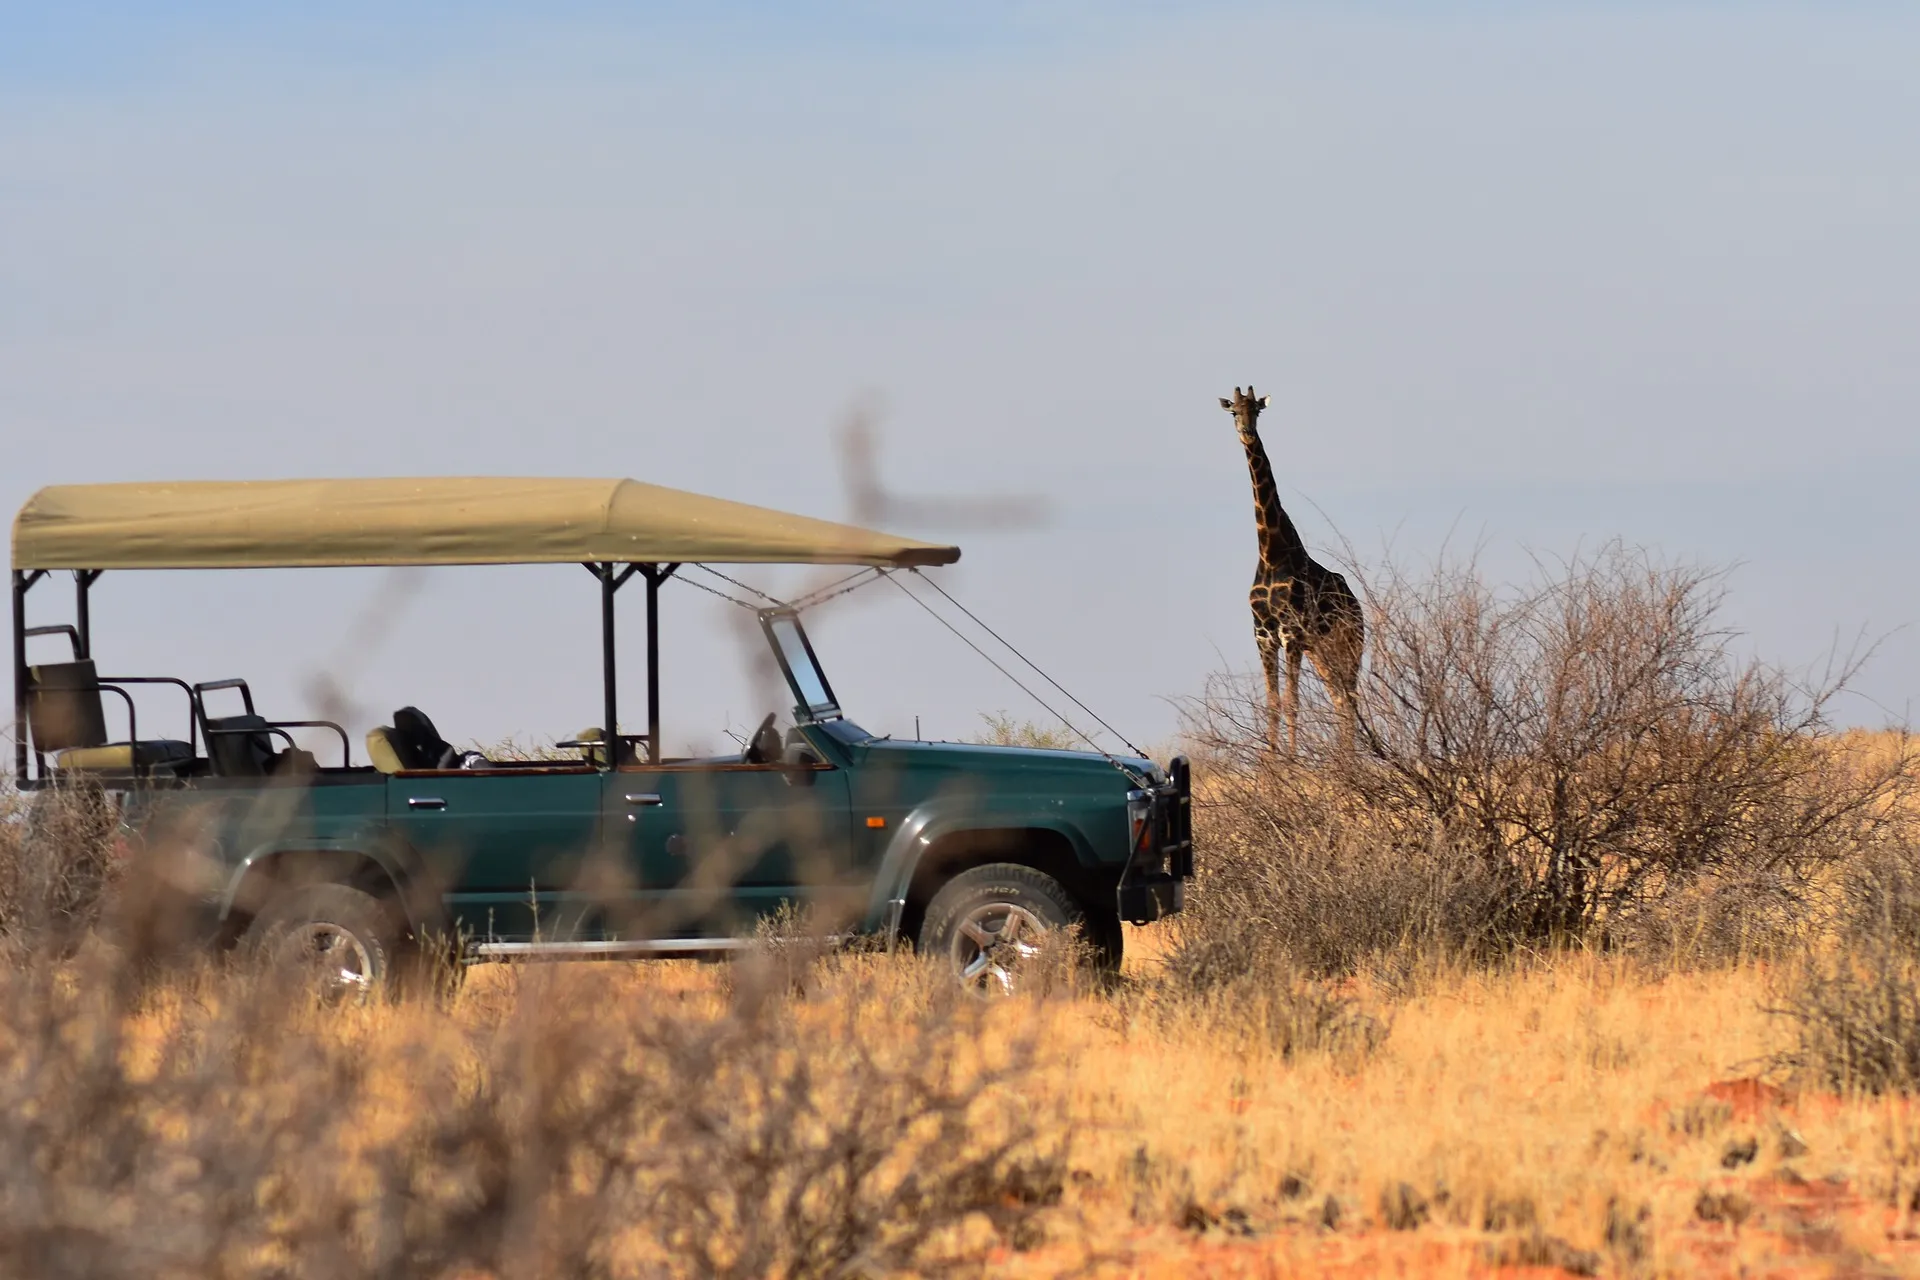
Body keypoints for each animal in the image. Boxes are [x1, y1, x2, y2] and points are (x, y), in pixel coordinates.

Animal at [1213, 385, 1367, 756]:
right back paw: (1344, 758)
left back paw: (1350, 759)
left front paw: (1291, 762)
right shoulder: (1263, 636)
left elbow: (1291, 702)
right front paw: (1270, 764)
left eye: (1257, 410)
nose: (1246, 433)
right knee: (1340, 698)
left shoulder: (1291, 634)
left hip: (1350, 644)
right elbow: (1273, 703)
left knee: (1350, 697)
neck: (1270, 554)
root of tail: (1357, 606)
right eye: (1233, 411)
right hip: (1321, 651)